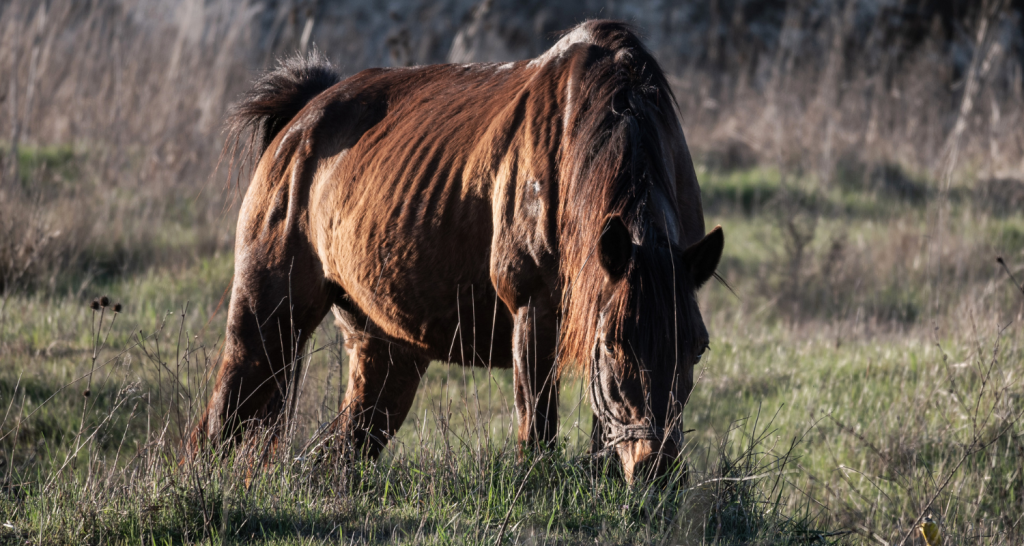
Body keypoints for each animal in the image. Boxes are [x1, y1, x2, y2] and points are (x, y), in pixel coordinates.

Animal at [192, 20, 720, 481]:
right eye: (613, 343)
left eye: (697, 347)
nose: (657, 471)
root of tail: (299, 121)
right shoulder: (534, 312)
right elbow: (537, 432)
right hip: (266, 324)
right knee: (214, 430)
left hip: (384, 347)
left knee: (340, 447)